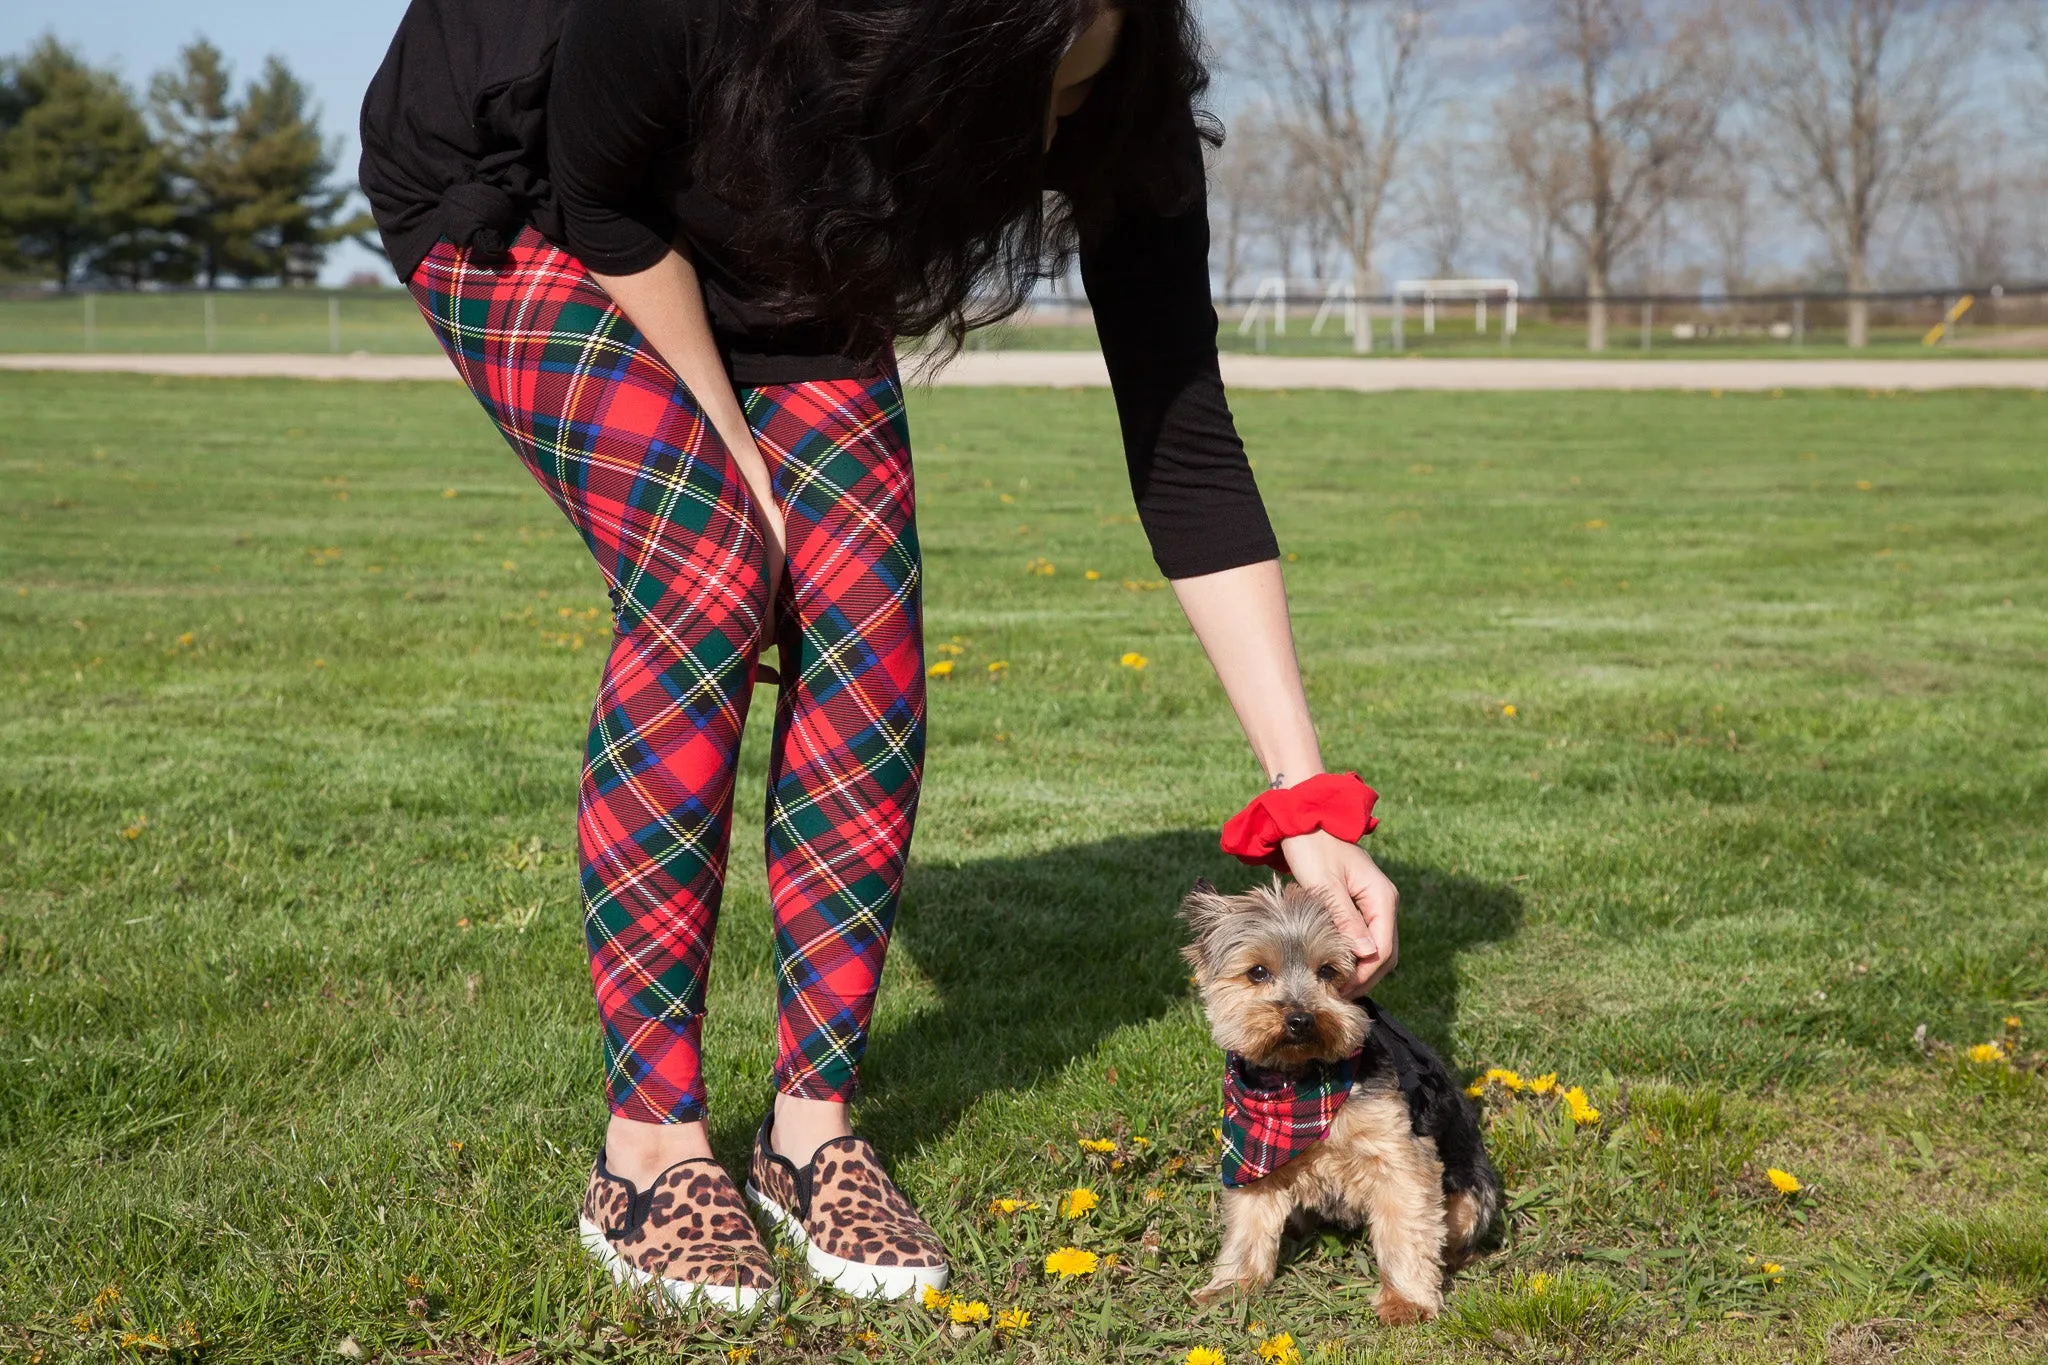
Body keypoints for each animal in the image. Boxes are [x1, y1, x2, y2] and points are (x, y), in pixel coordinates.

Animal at [1179, 875, 1499, 1326]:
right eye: (1257, 972)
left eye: (1328, 971)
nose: (1300, 1018)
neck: (1298, 1082)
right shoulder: (1249, 1155)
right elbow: (1247, 1224)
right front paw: (1231, 1284)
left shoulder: (1399, 1153)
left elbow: (1407, 1227)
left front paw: (1406, 1301)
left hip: (1470, 1193)